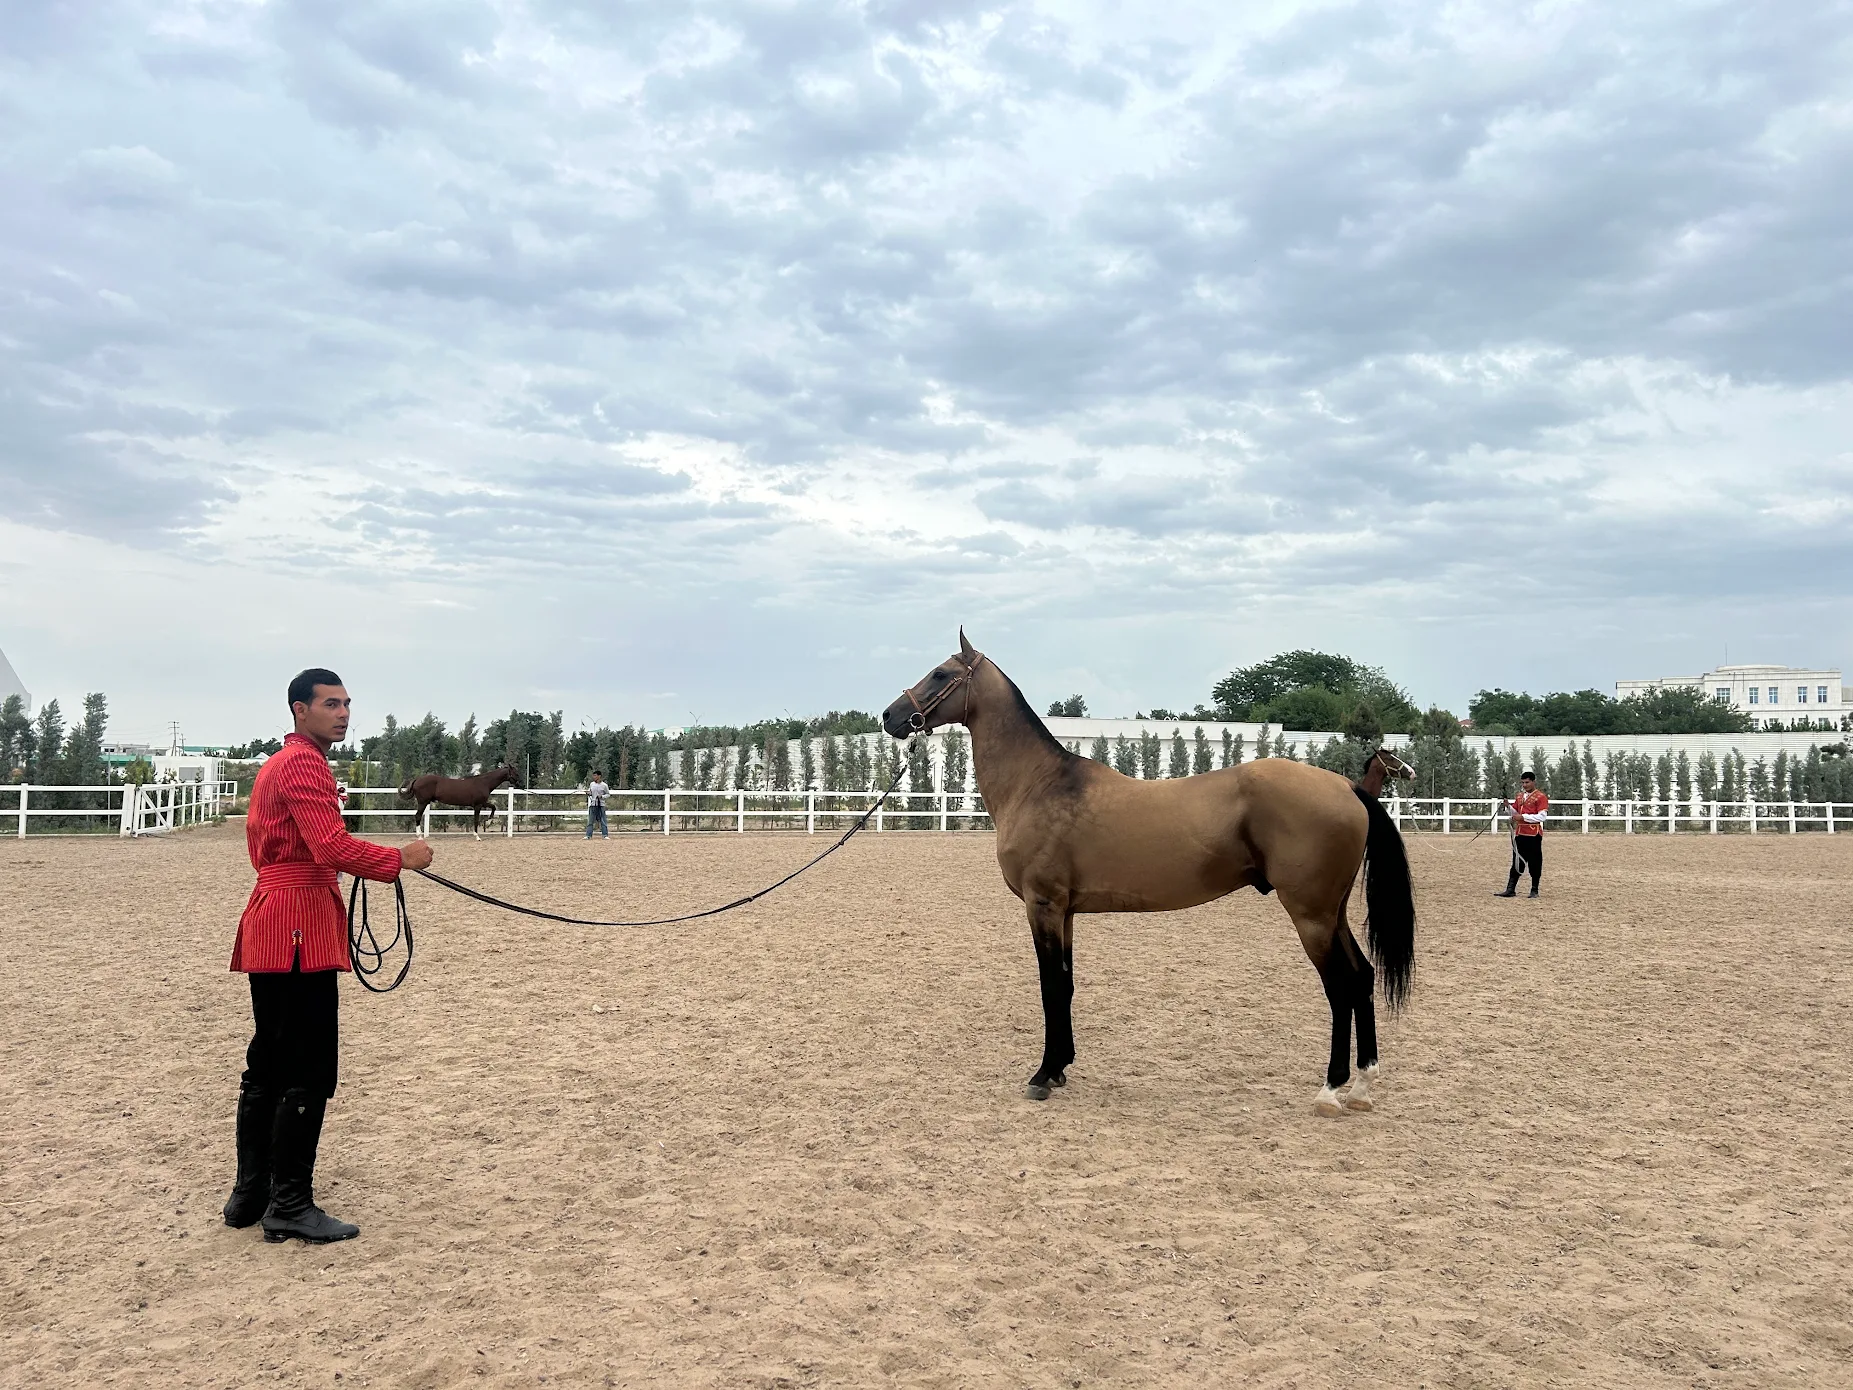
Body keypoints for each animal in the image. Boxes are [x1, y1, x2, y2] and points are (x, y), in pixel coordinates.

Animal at [882, 631, 1416, 1116]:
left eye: (941, 674)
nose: (890, 716)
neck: (1038, 784)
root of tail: (1346, 788)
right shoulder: (1066, 911)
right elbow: (1066, 984)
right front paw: (1061, 1068)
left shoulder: (1043, 905)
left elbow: (1050, 987)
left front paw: (1042, 1075)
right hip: (1332, 912)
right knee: (1363, 977)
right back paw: (1362, 1087)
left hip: (1310, 915)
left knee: (1340, 986)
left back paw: (1331, 1089)